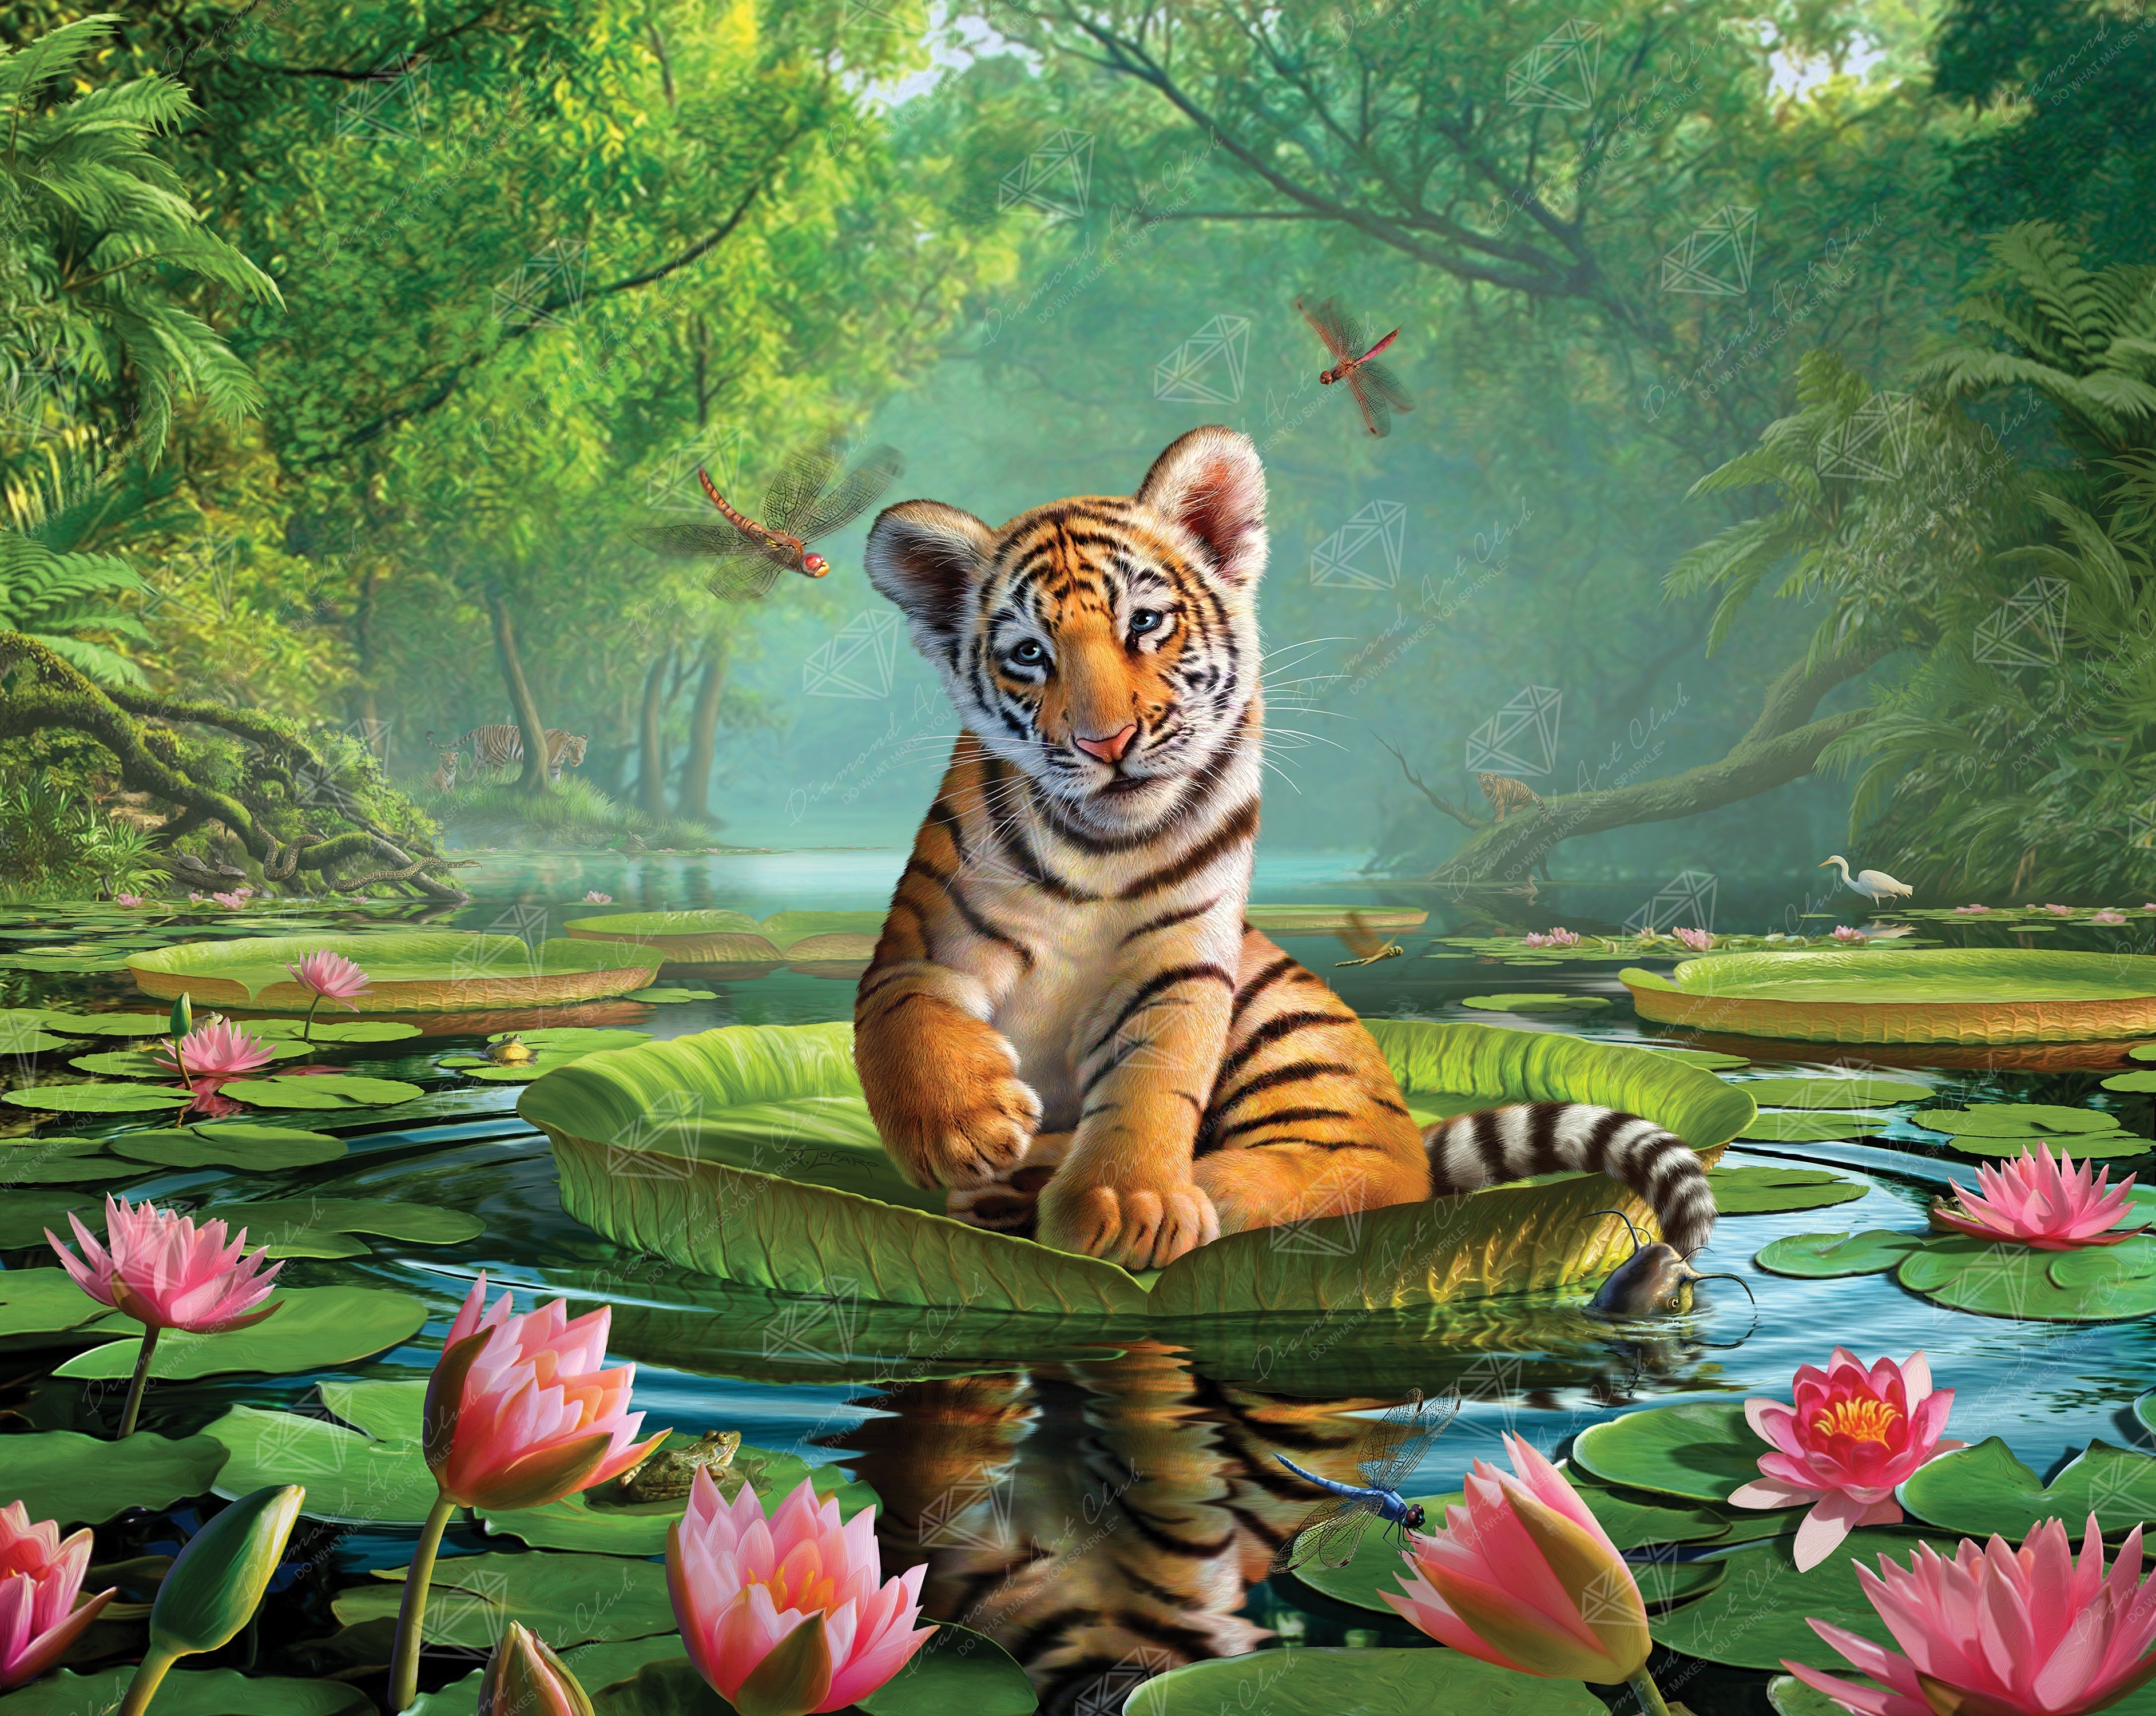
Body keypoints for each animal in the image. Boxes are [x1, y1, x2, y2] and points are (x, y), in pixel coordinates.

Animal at [856, 424, 1715, 1272]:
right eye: (1031, 653)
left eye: (1145, 623)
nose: (1108, 743)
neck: (1100, 848)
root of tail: (1415, 1133)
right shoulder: (916, 946)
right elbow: (905, 1019)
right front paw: (963, 1131)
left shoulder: (1182, 962)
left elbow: (1152, 1081)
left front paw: (1127, 1207)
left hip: (1293, 1033)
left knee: (1358, 1172)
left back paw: (1159, 1188)